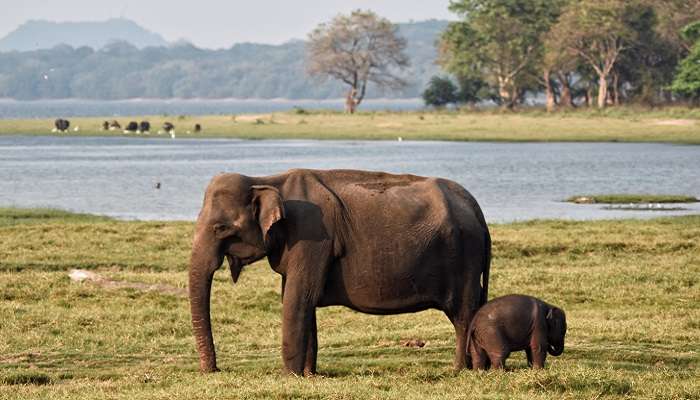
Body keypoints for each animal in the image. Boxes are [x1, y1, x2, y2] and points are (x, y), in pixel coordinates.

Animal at [189, 169, 490, 376]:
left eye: (220, 228)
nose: (213, 370)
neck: (268, 180)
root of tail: (477, 208)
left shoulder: (311, 236)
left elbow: (296, 299)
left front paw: (289, 376)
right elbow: (302, 299)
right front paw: (309, 375)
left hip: (464, 257)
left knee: (463, 316)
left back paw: (459, 370)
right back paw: (478, 368)